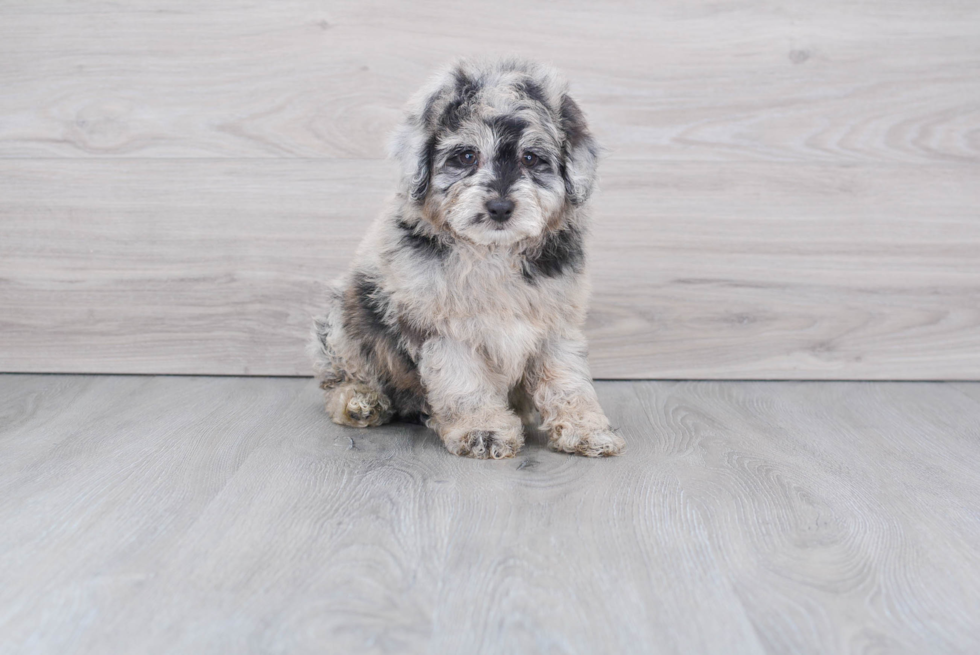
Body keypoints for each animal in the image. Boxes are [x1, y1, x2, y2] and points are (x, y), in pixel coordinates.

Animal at [310, 59, 624, 462]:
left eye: (531, 158)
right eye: (466, 156)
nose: (500, 207)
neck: (493, 252)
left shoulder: (557, 322)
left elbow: (567, 379)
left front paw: (585, 428)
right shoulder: (444, 327)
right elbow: (464, 379)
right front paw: (483, 429)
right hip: (344, 319)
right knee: (345, 374)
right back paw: (359, 401)